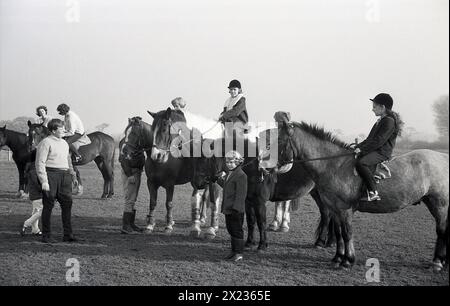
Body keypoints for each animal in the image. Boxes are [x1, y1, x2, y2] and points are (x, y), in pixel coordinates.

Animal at [276, 118, 448, 272]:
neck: (334, 166)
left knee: (441, 230)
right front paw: (337, 258)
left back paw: (437, 263)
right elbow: (339, 233)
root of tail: (442, 157)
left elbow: (347, 233)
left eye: (279, 140)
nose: (273, 166)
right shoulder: (335, 209)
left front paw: (347, 261)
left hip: (440, 205)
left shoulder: (345, 210)